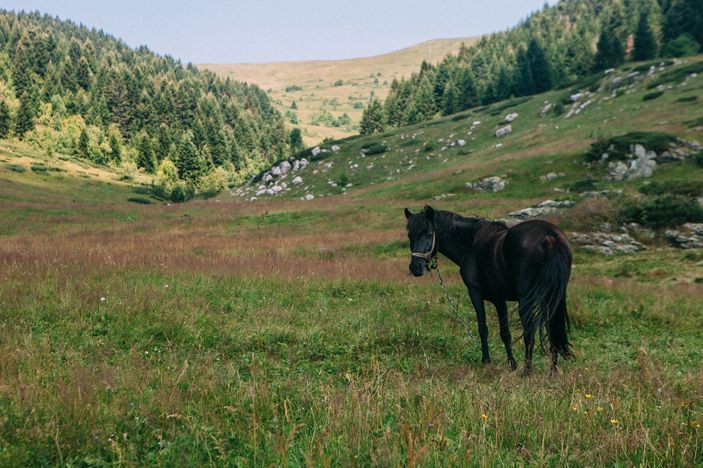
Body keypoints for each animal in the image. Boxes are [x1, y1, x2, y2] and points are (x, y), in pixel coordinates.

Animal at [404, 207, 576, 374]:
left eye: (429, 234)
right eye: (410, 235)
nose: (415, 268)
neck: (470, 244)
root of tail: (549, 236)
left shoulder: (475, 292)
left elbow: (483, 328)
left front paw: (486, 361)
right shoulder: (499, 299)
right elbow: (505, 333)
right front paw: (512, 364)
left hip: (527, 299)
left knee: (529, 330)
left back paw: (527, 371)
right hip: (554, 297)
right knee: (552, 328)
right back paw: (552, 370)